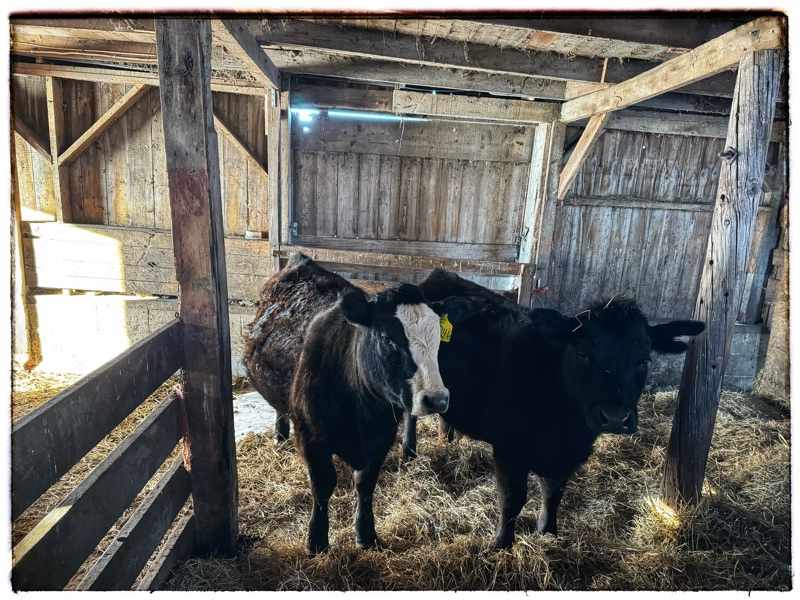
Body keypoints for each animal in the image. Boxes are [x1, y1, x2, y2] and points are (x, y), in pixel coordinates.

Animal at [243, 253, 457, 554]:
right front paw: (316, 540)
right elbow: (323, 485)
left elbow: (365, 485)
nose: (436, 399)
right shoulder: (310, 436)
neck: (360, 412)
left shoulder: (382, 437)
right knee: (280, 411)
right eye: (387, 339)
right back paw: (279, 436)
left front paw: (365, 534)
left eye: (438, 337)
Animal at [405, 268, 705, 549]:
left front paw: (548, 533)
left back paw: (447, 438)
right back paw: (409, 451)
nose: (615, 418)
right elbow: (512, 499)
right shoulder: (508, 449)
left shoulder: (569, 455)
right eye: (583, 353)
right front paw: (501, 544)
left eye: (643, 361)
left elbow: (553, 494)